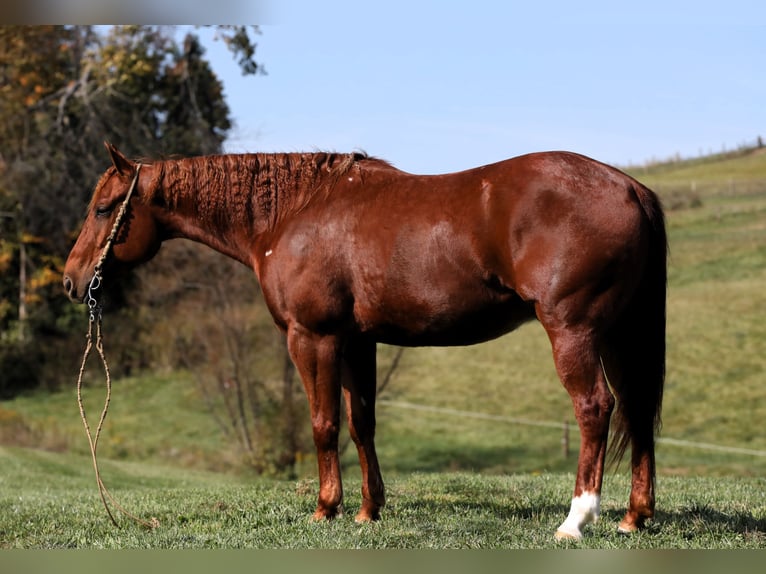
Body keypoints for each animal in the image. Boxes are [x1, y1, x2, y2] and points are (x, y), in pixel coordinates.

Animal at [66, 143, 664, 540]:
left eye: (103, 209)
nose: (72, 281)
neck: (293, 214)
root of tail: (629, 186)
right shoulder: (357, 342)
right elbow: (361, 423)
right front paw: (367, 510)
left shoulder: (314, 338)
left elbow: (322, 423)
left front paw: (325, 508)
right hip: (620, 333)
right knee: (636, 411)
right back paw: (634, 517)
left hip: (574, 330)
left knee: (595, 408)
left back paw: (576, 520)